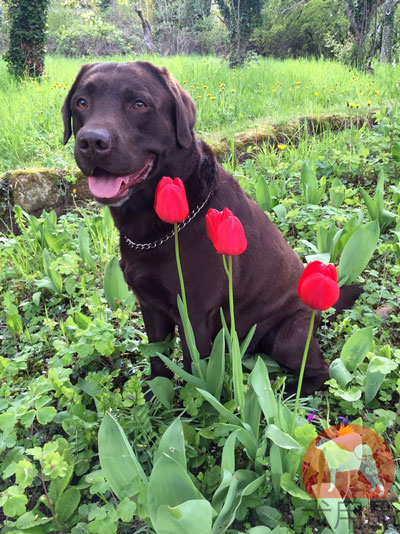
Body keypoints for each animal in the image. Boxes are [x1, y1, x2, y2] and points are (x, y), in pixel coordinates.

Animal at [61, 61, 356, 394]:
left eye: (139, 104)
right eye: (81, 102)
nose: (92, 142)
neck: (159, 231)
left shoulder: (196, 313)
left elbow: (195, 369)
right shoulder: (150, 305)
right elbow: (158, 361)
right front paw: (155, 400)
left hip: (289, 336)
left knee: (319, 372)